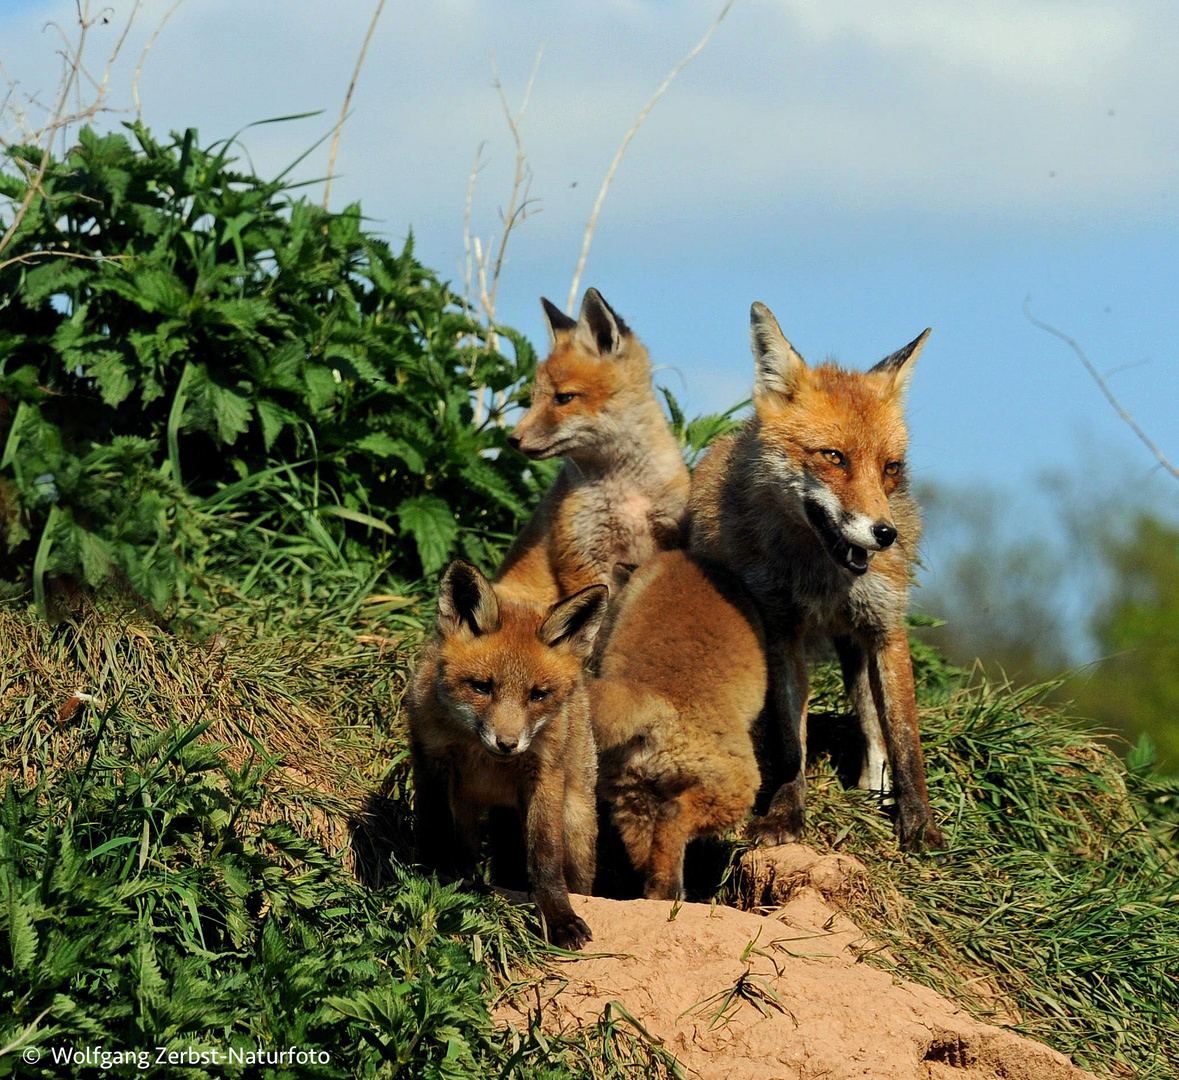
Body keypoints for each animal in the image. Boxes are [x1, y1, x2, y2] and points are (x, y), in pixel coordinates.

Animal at [407, 561, 608, 947]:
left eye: (538, 695)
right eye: (482, 687)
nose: (507, 743)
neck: (484, 759)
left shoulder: (544, 775)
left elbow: (544, 856)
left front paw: (558, 916)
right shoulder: (432, 762)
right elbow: (437, 829)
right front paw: (434, 881)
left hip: (576, 824)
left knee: (579, 876)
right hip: (467, 810)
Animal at [495, 286, 688, 608]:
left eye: (563, 398)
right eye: (533, 399)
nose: (512, 439)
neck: (627, 493)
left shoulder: (671, 532)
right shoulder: (581, 554)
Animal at [589, 551, 763, 900]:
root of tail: (651, 697)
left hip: (633, 798)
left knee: (651, 855)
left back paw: (662, 897)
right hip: (734, 786)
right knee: (674, 817)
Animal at [688, 304, 943, 853]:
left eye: (890, 468)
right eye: (834, 457)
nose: (885, 534)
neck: (821, 578)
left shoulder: (886, 628)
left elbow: (905, 740)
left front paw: (920, 826)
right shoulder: (780, 629)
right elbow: (791, 744)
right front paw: (785, 814)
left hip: (860, 646)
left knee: (872, 727)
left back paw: (875, 794)